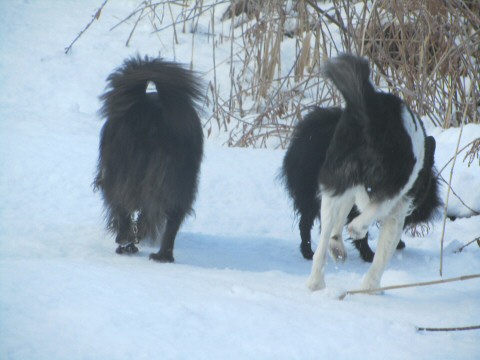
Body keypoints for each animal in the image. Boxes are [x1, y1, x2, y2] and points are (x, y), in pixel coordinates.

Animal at [94, 56, 203, 262]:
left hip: (122, 173)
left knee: (123, 205)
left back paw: (125, 238)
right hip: (179, 180)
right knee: (173, 218)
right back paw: (163, 255)